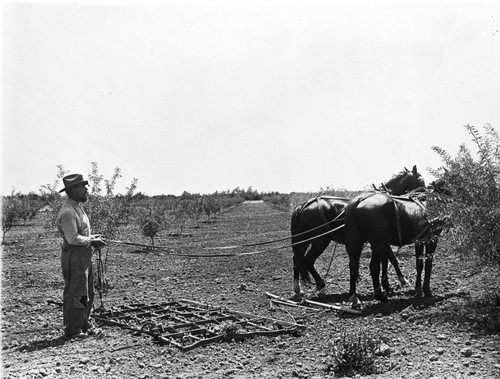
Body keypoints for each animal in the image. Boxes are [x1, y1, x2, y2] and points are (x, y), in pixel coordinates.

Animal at [290, 166, 426, 296]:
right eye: (421, 180)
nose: (424, 196)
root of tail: (302, 206)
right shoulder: (381, 241)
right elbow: (391, 259)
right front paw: (401, 280)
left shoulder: (381, 242)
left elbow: (386, 260)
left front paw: (387, 285)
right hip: (320, 241)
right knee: (308, 260)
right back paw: (321, 286)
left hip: (304, 240)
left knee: (297, 259)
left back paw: (298, 288)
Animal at [344, 176, 446, 306]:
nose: (423, 190)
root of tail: (358, 200)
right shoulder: (431, 240)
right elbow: (428, 264)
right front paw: (427, 291)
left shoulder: (419, 241)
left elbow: (419, 264)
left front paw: (418, 290)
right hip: (377, 243)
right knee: (373, 266)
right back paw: (380, 296)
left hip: (356, 242)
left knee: (353, 266)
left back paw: (354, 296)